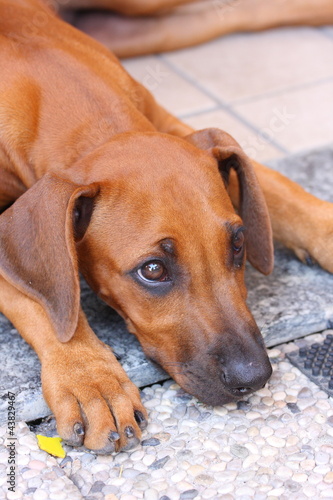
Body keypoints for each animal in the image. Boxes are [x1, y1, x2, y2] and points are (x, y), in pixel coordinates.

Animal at [0, 0, 332, 454]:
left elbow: (276, 186)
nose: (254, 378)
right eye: (153, 270)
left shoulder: (173, 125)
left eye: (239, 244)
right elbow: (34, 298)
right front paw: (90, 378)